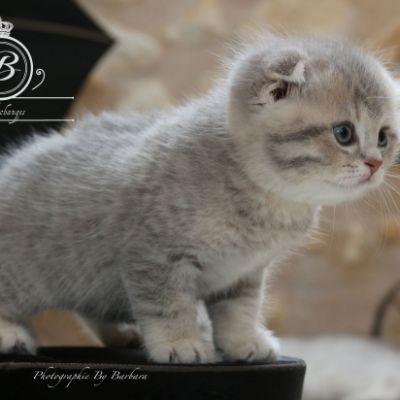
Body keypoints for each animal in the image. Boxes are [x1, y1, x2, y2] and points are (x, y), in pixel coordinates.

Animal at [0, 35, 399, 363]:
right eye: (343, 133)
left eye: (383, 137)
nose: (376, 164)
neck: (265, 200)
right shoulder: (154, 255)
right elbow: (169, 306)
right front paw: (181, 343)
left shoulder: (245, 271)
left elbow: (240, 310)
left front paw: (244, 341)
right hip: (33, 272)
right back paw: (12, 334)